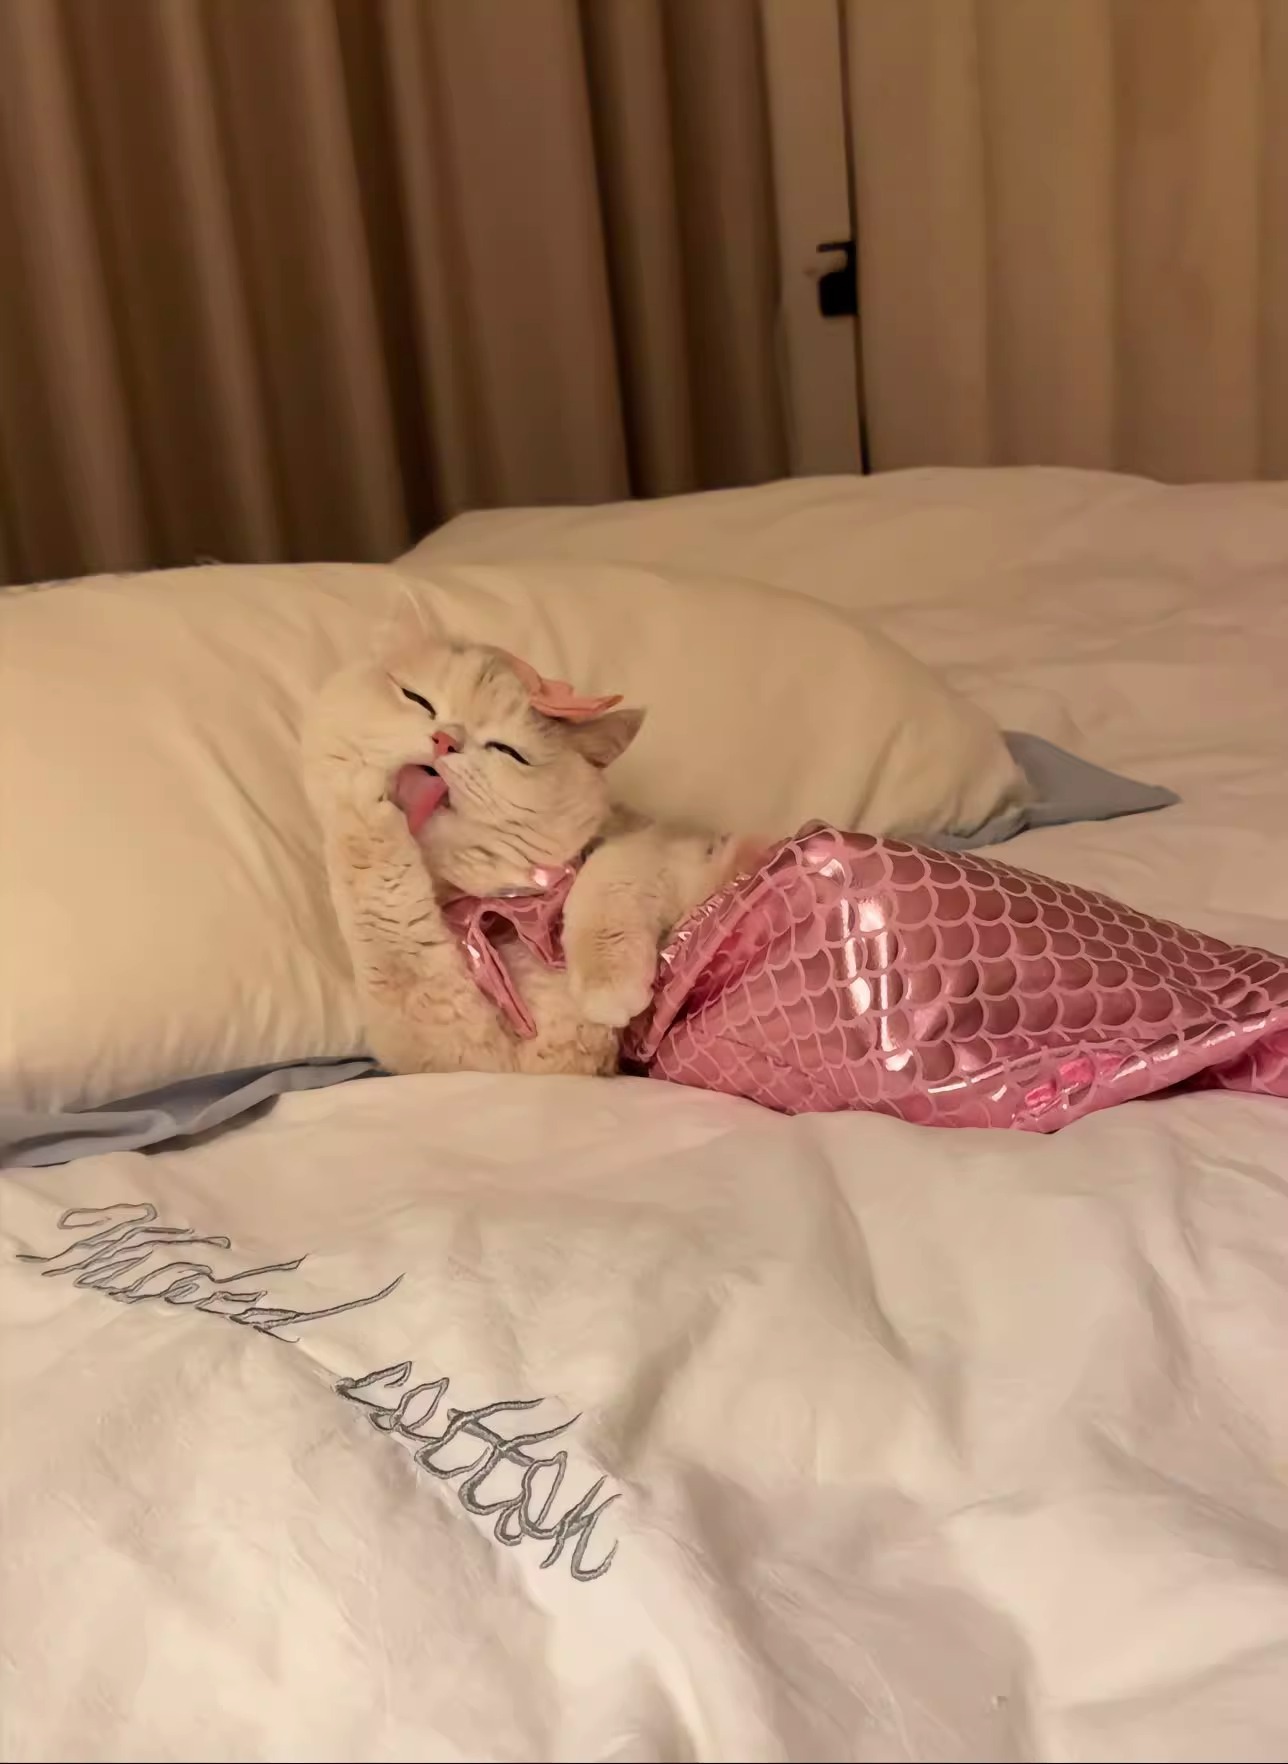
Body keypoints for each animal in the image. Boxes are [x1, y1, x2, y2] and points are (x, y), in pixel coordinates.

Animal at [303, 632, 750, 1078]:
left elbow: (613, 867)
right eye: (418, 699)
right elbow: (393, 936)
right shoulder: (475, 1053)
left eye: (507, 751)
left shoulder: (678, 845)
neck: (509, 905)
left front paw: (607, 985)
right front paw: (356, 802)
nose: (444, 741)